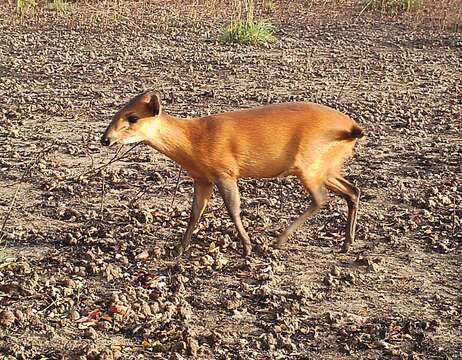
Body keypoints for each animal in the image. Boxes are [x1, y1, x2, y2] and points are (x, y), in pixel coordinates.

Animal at [102, 91, 364, 258]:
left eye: (133, 117)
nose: (105, 139)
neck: (193, 140)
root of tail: (352, 129)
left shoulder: (225, 172)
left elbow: (233, 208)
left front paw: (247, 248)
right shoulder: (202, 179)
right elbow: (195, 212)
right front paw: (179, 248)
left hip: (308, 166)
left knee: (321, 198)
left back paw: (280, 239)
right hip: (327, 167)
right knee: (353, 191)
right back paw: (347, 243)